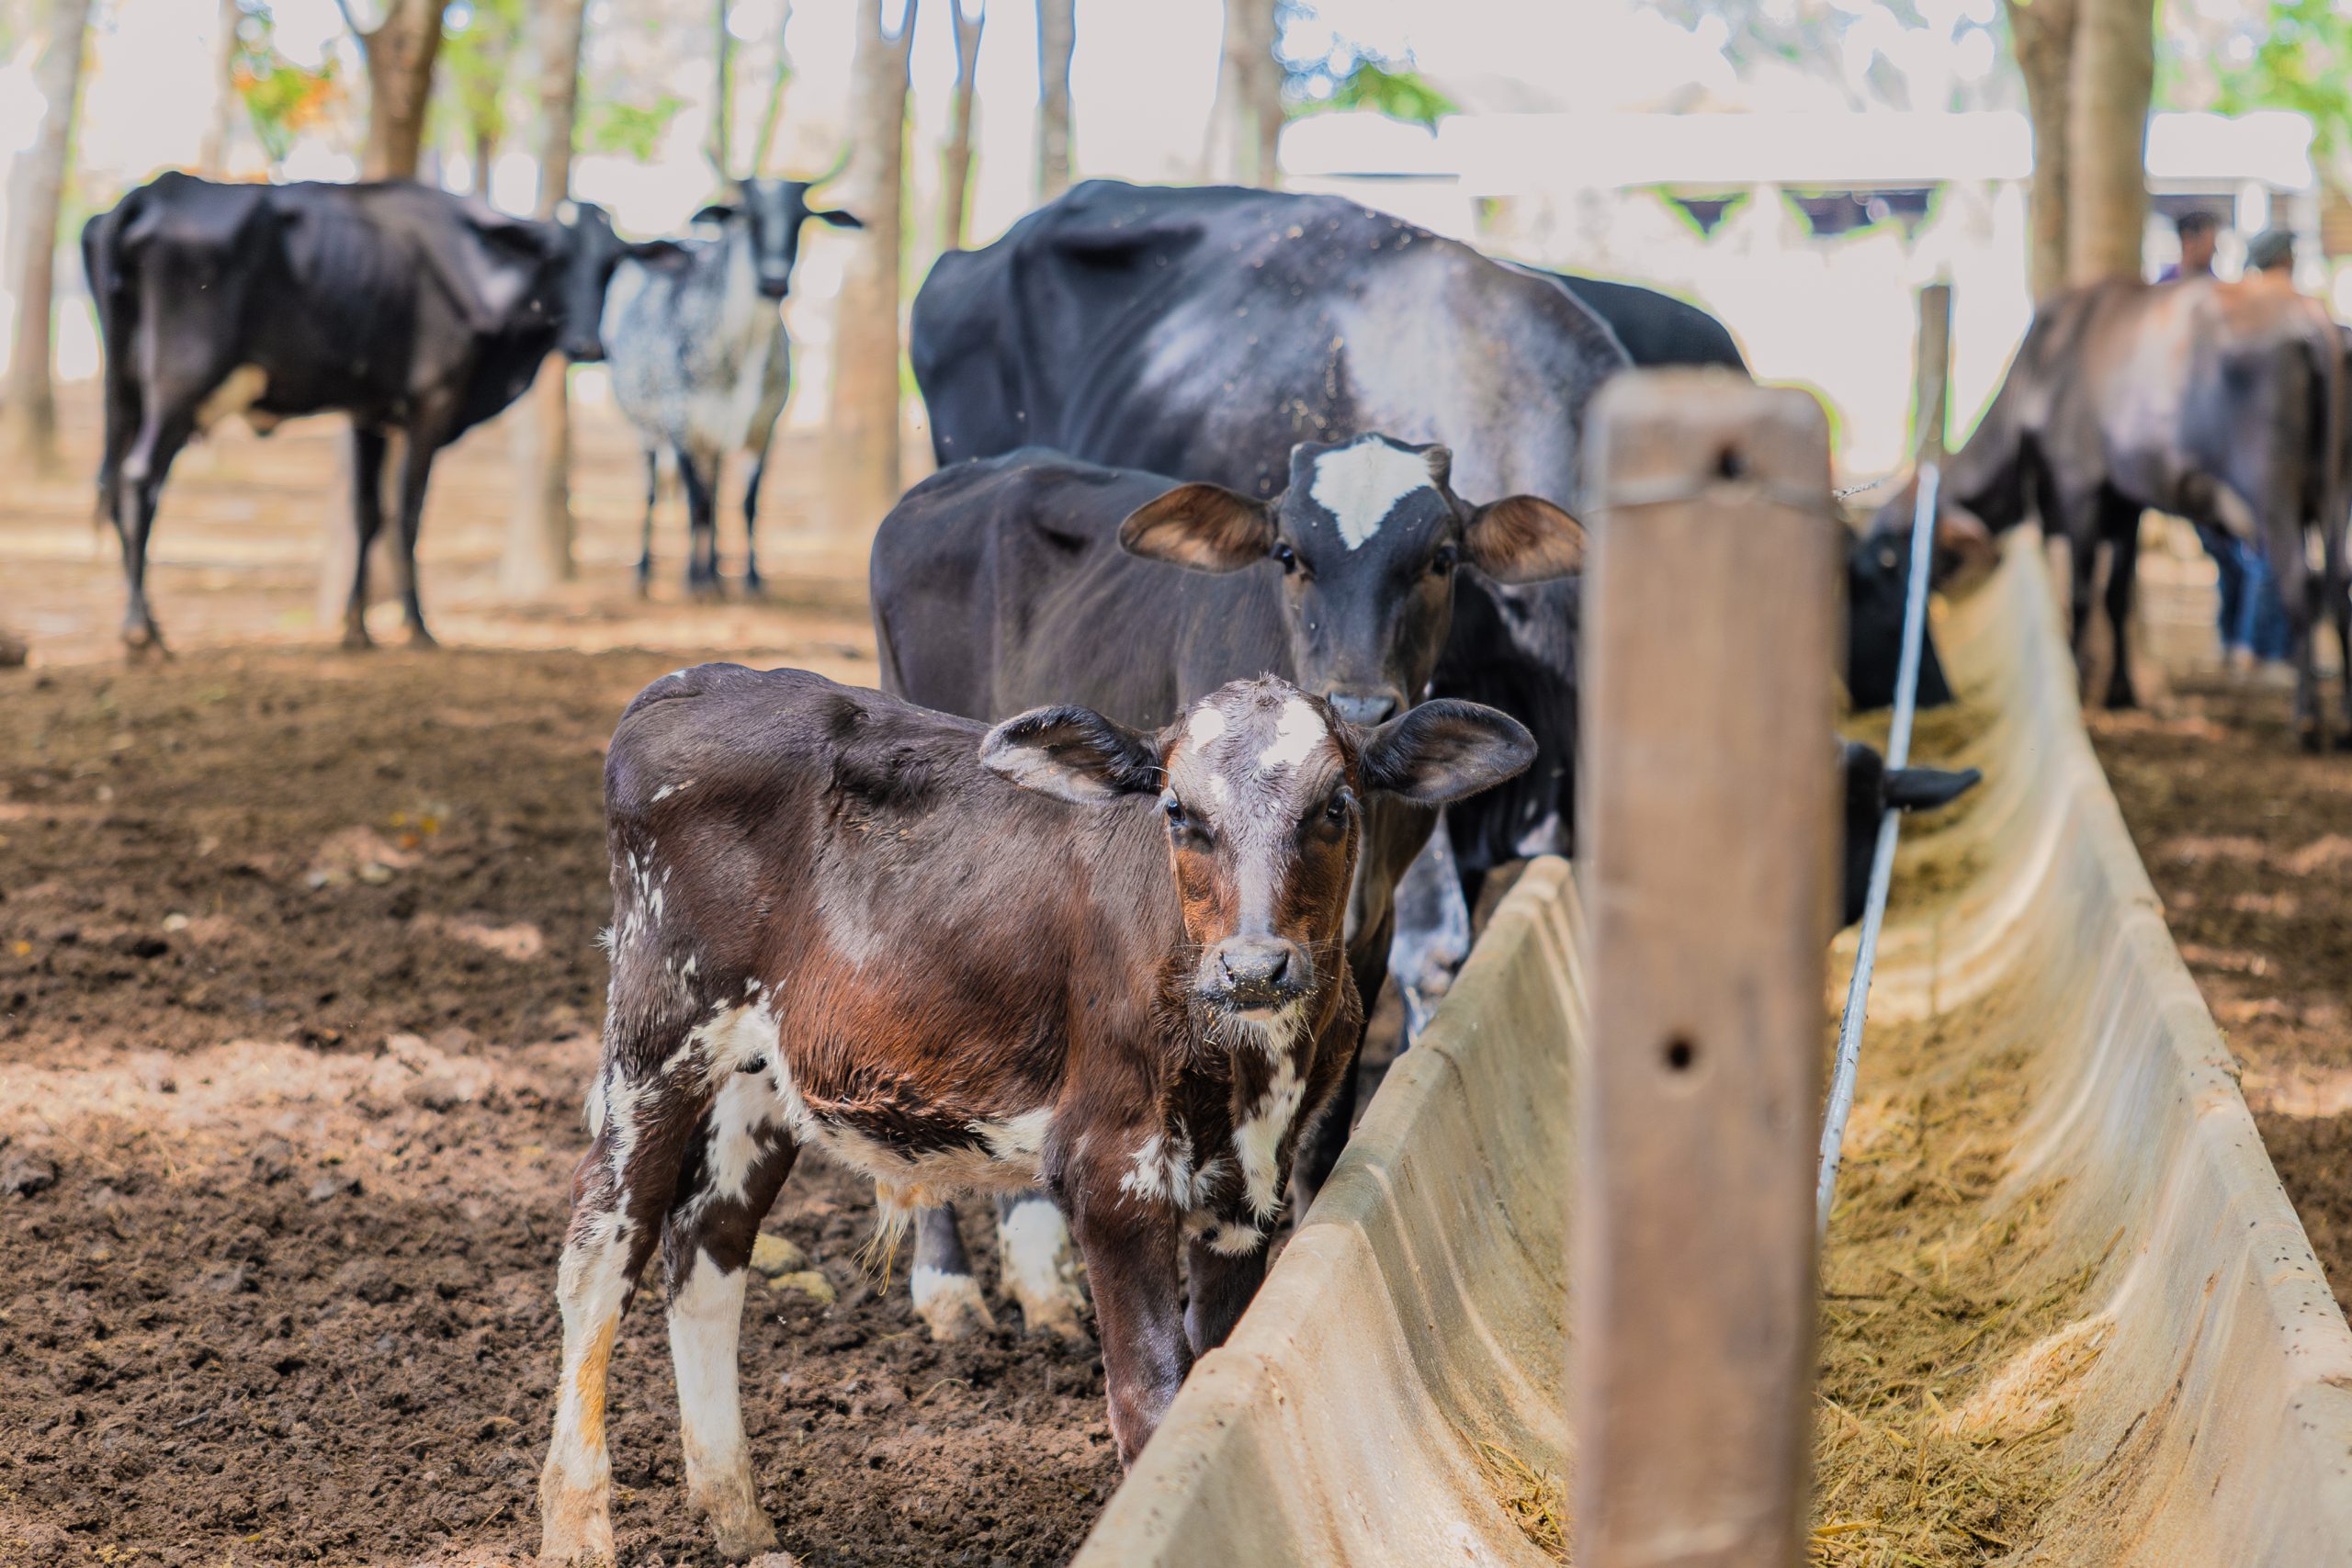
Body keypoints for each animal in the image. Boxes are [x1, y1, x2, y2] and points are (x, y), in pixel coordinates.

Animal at [606, 179, 865, 602]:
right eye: (749, 216)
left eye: (800, 218)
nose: (774, 282)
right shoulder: (681, 426)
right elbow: (697, 505)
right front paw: (695, 580)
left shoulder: (764, 427)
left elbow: (746, 503)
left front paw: (750, 578)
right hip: (647, 429)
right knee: (656, 493)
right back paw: (646, 571)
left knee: (714, 490)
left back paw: (714, 567)